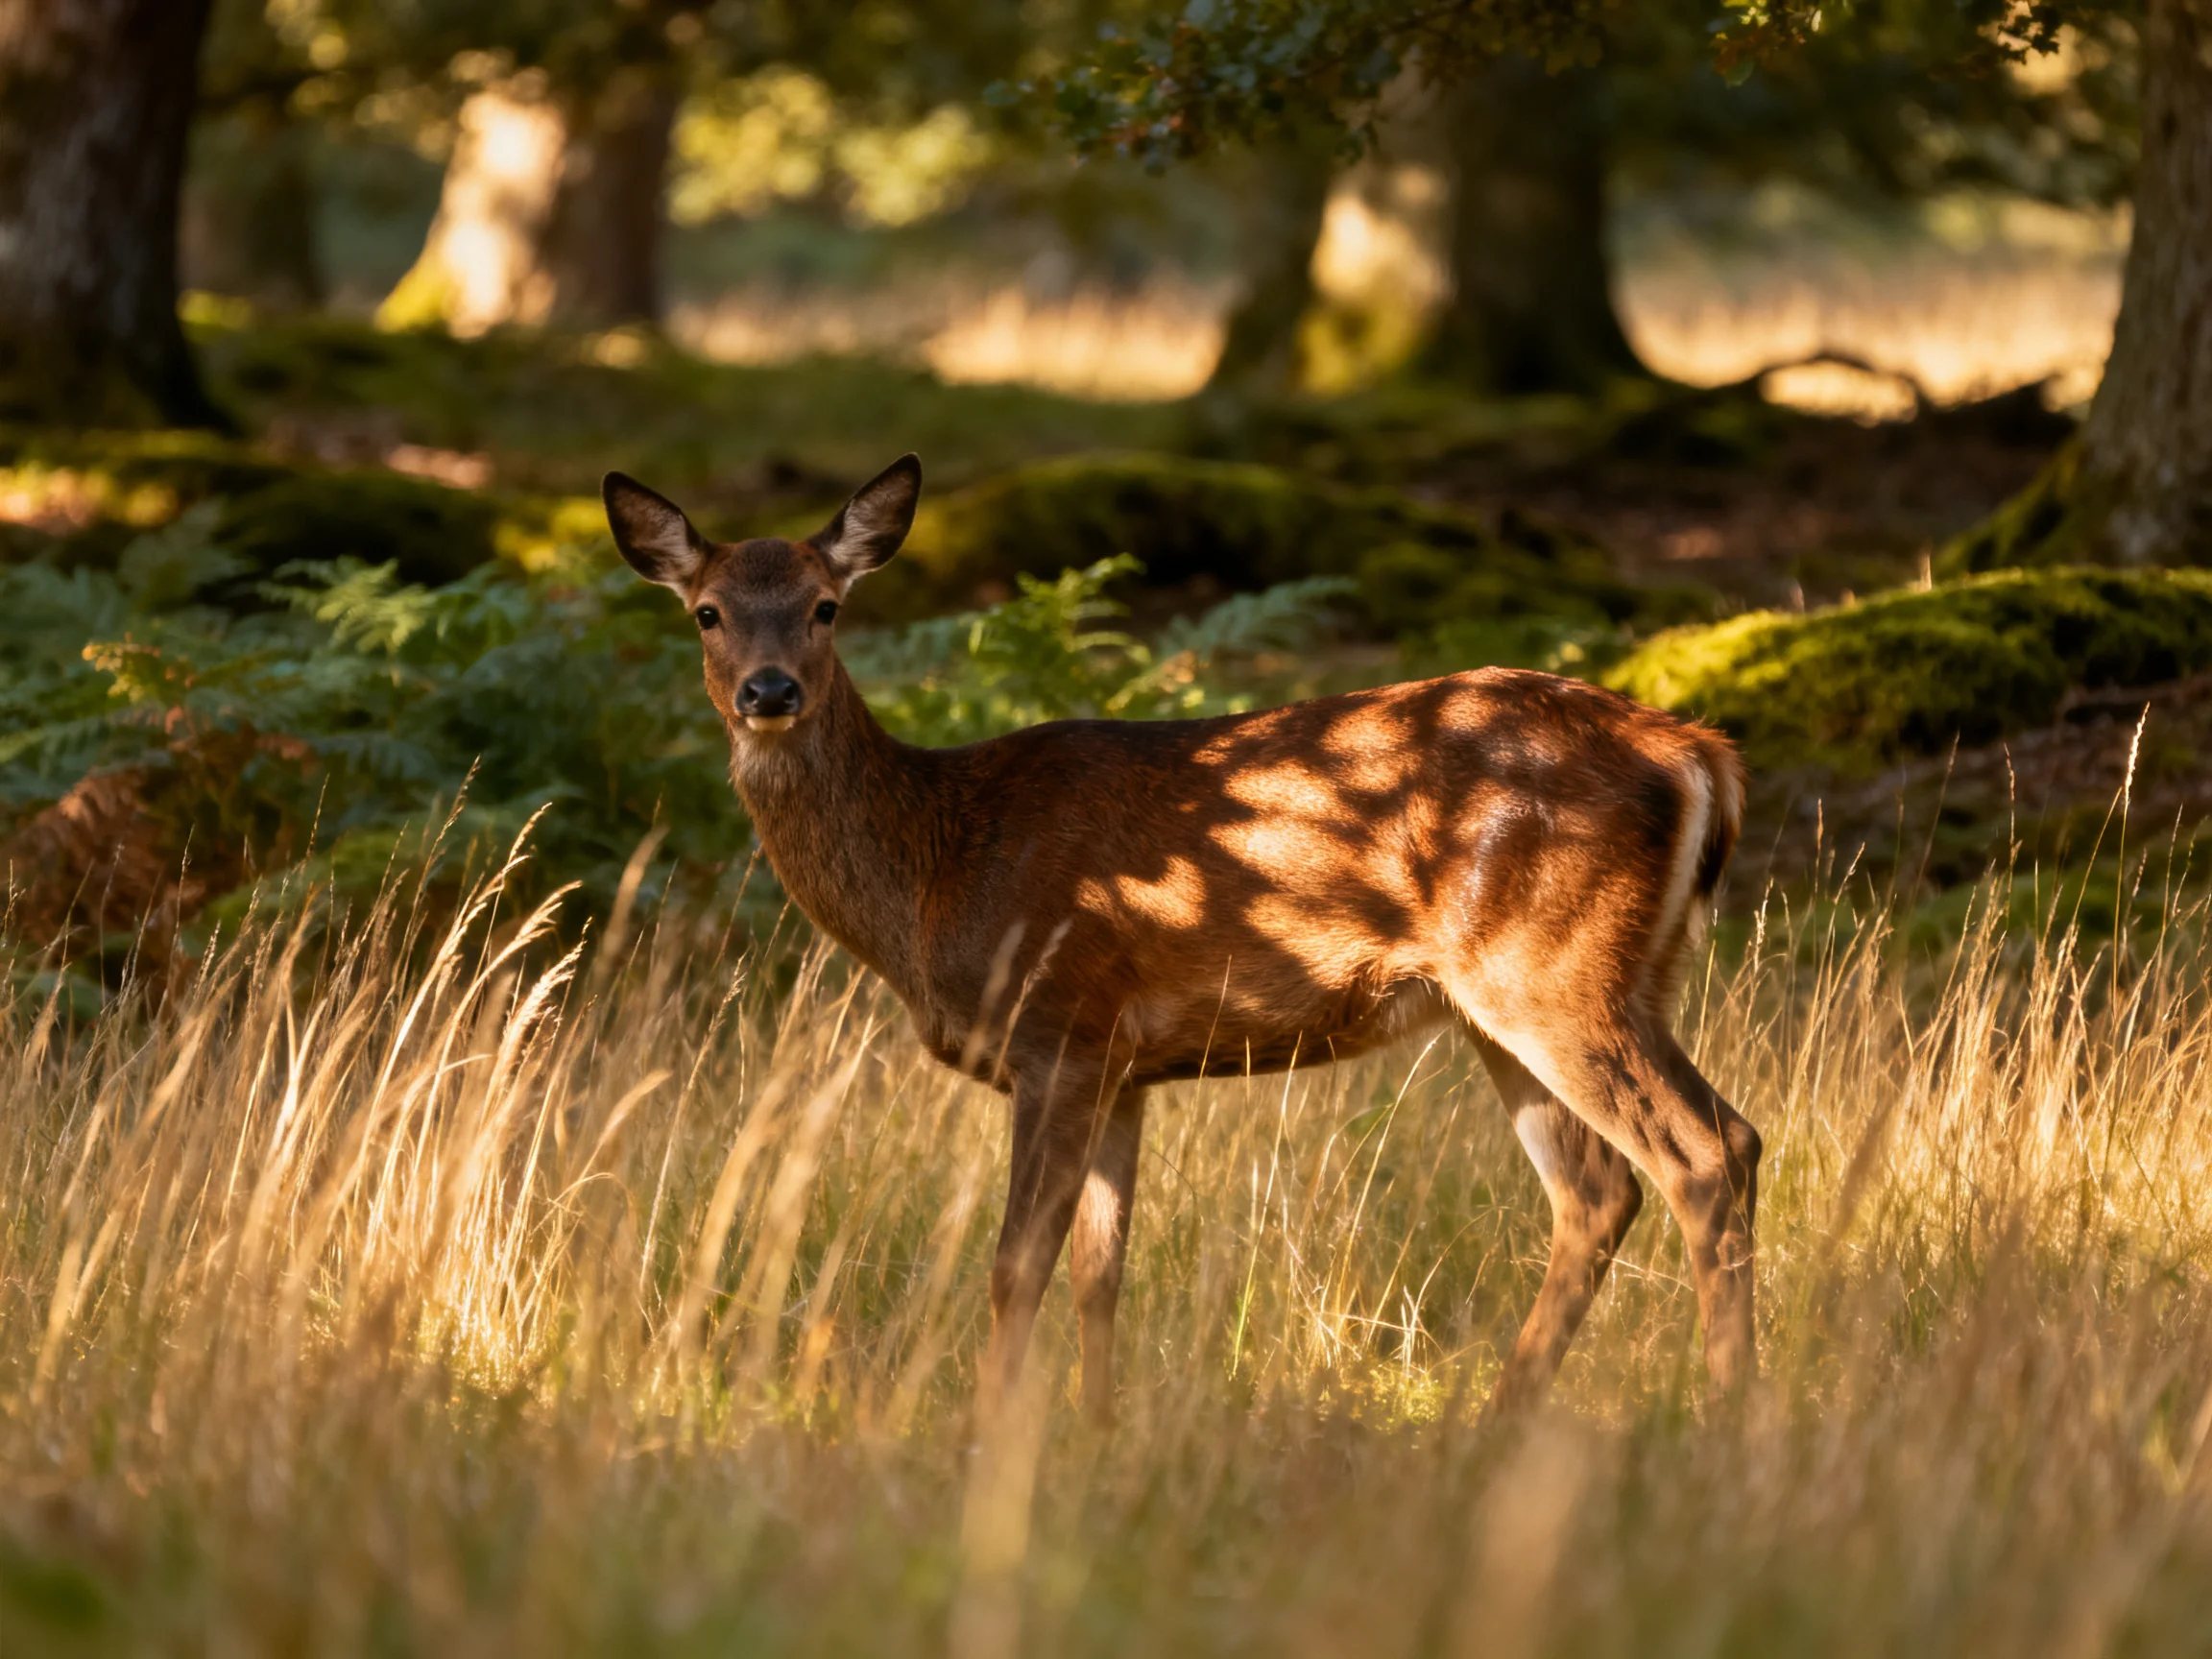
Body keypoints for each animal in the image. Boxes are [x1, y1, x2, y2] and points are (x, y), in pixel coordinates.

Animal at [603, 454, 1761, 1425]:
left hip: (1552, 968)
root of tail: (1699, 752)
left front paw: (995, 1434)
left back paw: (1727, 1417)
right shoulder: (1124, 1064)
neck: (939, 871)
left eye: (825, 607)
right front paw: (1095, 1432)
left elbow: (1015, 1264)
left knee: (1706, 1151)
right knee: (1606, 1188)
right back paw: (1500, 1419)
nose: (769, 691)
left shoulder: (1061, 1027)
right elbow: (1099, 1271)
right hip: (1557, 992)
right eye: (707, 613)